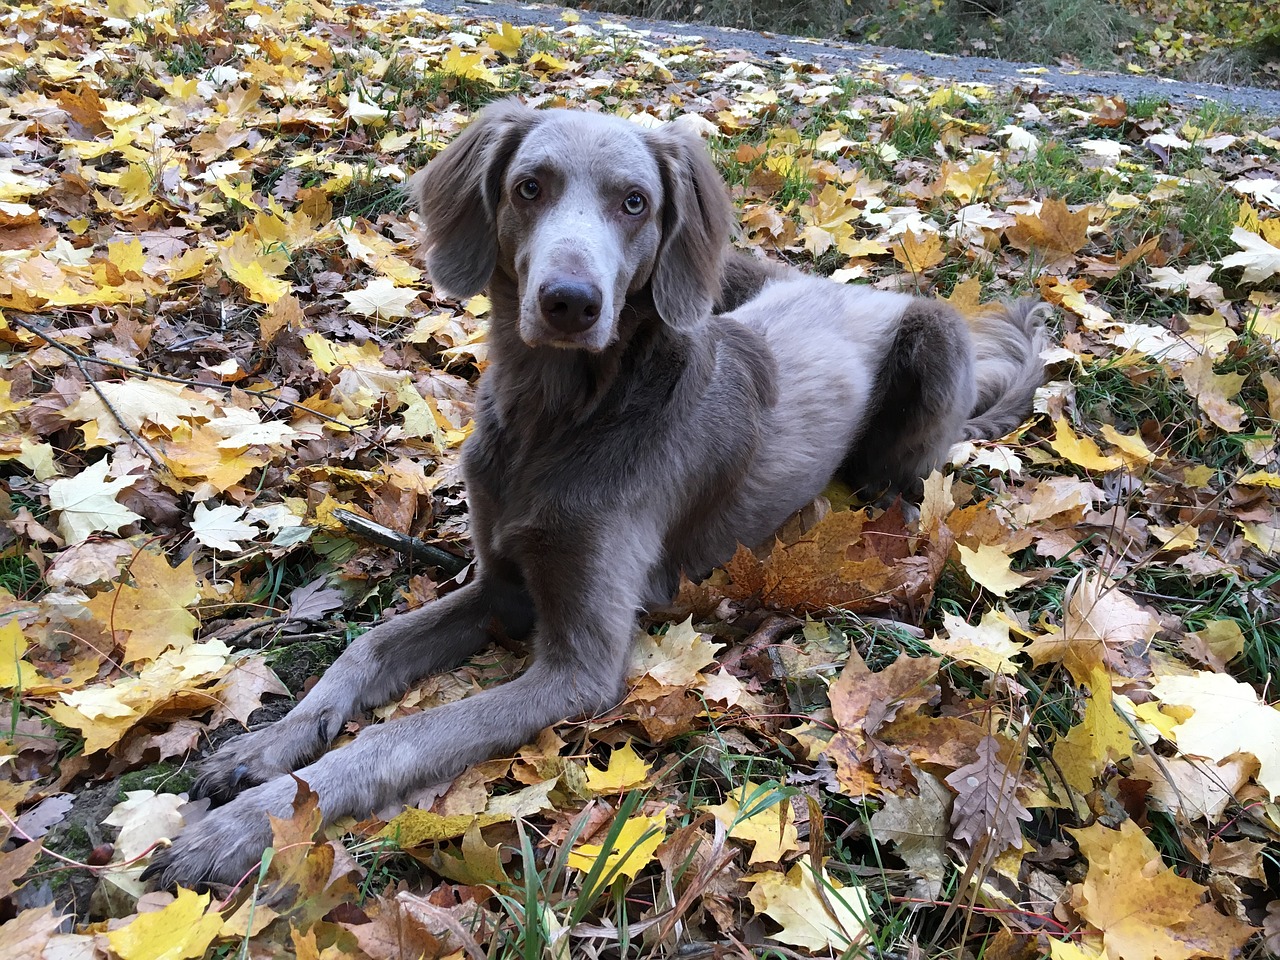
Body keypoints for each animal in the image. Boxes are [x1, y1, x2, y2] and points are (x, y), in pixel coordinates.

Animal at [147, 97, 1049, 885]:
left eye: (635, 202)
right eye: (528, 186)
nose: (570, 303)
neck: (559, 417)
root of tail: (861, 287)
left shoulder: (579, 666)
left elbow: (399, 738)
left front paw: (244, 826)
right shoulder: (500, 585)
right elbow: (367, 648)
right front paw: (265, 748)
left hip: (931, 337)